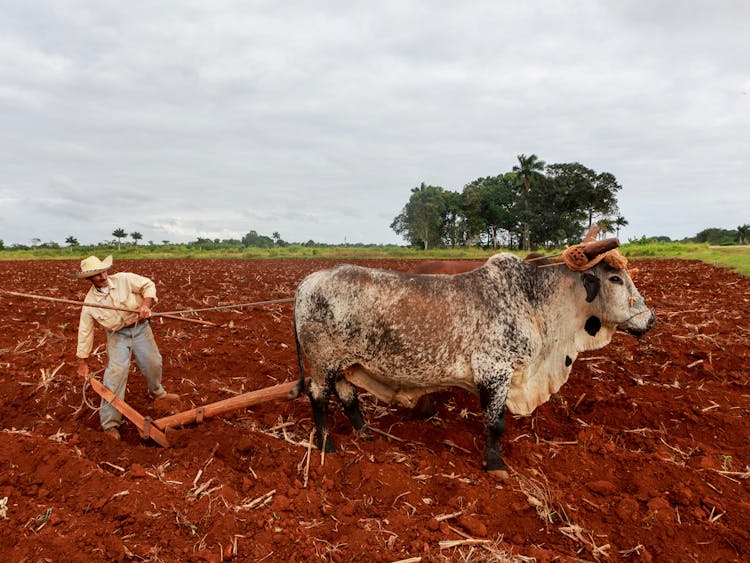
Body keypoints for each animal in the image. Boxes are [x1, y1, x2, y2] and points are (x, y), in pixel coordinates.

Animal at [290, 239, 656, 476]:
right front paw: (495, 465)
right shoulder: (494, 373)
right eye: (615, 278)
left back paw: (364, 432)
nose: (650, 320)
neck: (534, 301)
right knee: (318, 395)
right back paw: (326, 444)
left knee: (346, 394)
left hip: (344, 363)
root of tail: (308, 281)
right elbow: (495, 423)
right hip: (322, 361)